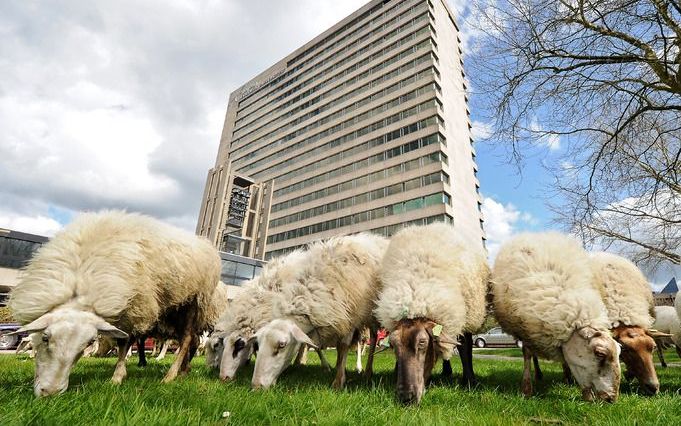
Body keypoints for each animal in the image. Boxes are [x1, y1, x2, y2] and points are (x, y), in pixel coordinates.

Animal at [8, 211, 220, 396]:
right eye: (45, 338)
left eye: (89, 342)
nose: (50, 392)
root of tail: (205, 244)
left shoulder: (133, 305)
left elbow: (125, 342)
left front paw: (117, 377)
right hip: (172, 309)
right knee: (193, 340)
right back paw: (184, 370)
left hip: (191, 304)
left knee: (186, 339)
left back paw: (171, 375)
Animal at [250, 233, 388, 390]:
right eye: (258, 344)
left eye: (281, 345)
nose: (256, 386)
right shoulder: (337, 317)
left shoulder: (351, 314)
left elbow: (344, 345)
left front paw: (338, 381)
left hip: (371, 314)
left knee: (373, 338)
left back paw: (367, 371)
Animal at [372, 221, 488, 404]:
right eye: (393, 346)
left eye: (422, 343)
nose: (406, 397)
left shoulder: (463, 316)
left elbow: (464, 348)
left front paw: (470, 381)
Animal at [488, 231, 620, 402]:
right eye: (600, 353)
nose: (611, 399)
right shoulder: (524, 329)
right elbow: (527, 355)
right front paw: (526, 389)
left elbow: (566, 358)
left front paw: (571, 379)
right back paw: (538, 375)